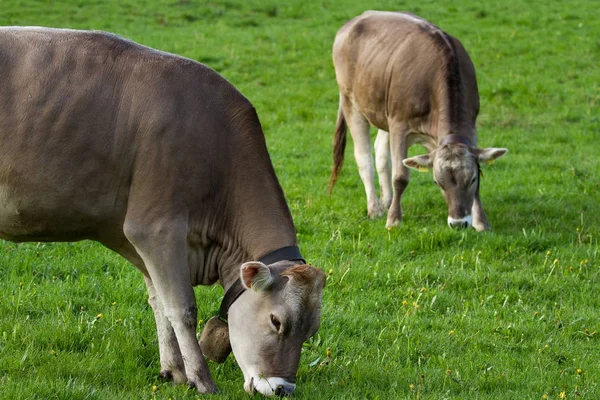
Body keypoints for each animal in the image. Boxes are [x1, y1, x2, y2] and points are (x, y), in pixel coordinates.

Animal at [0, 27, 326, 396]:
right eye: (277, 321)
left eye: (311, 330)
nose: (283, 388)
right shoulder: (155, 229)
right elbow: (182, 307)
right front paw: (201, 379)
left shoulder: (141, 240)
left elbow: (159, 301)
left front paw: (173, 370)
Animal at [328, 11, 506, 231]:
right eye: (438, 182)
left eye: (471, 180)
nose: (458, 223)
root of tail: (356, 20)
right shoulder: (400, 126)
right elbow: (400, 177)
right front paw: (394, 220)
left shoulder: (470, 127)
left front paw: (481, 222)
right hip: (351, 103)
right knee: (364, 158)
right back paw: (375, 208)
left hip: (384, 112)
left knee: (380, 153)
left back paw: (387, 201)